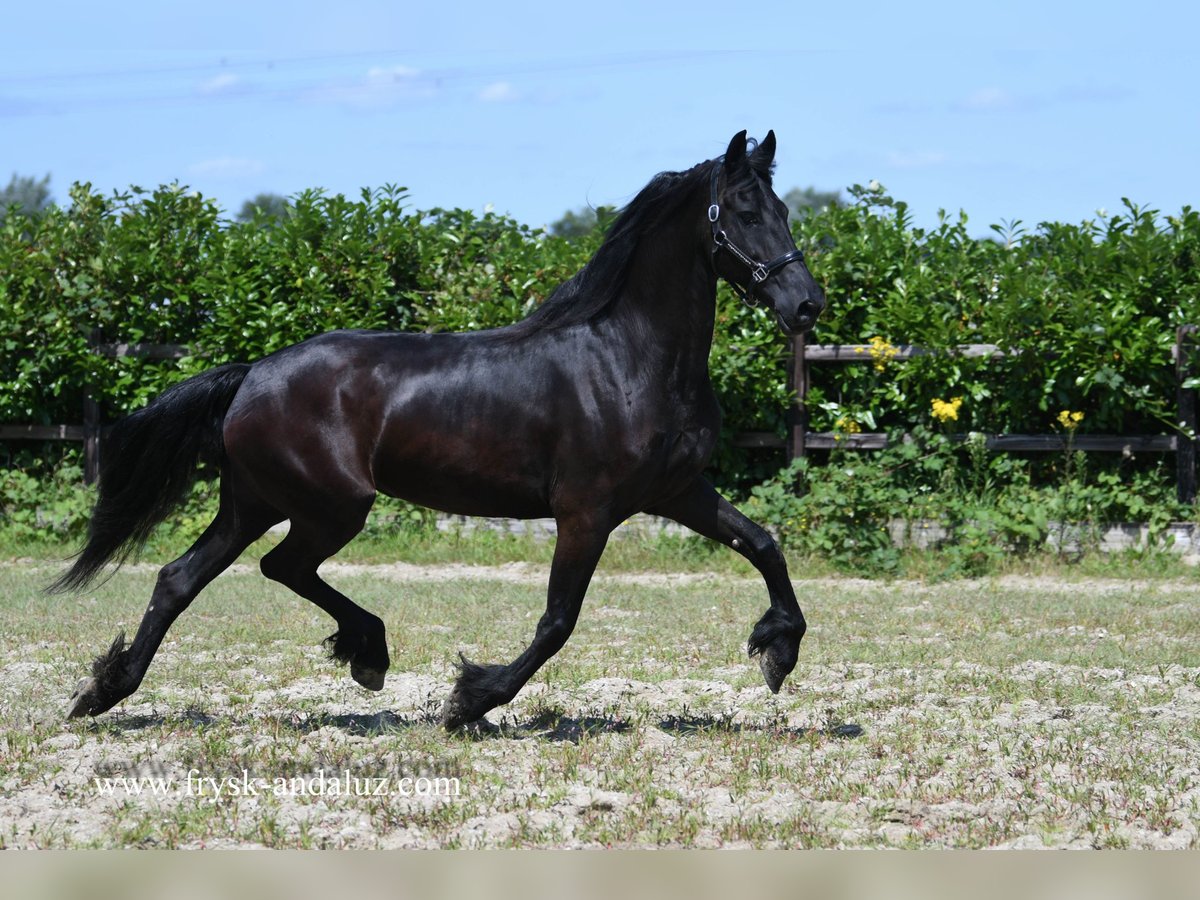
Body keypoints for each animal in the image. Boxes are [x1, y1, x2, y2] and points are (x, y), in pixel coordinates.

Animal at [56, 128, 825, 734]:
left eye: (786, 210)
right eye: (747, 212)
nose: (807, 305)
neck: (627, 358)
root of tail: (252, 374)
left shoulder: (676, 491)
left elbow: (763, 543)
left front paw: (777, 651)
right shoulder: (587, 512)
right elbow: (558, 621)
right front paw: (470, 701)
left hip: (258, 501)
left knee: (183, 578)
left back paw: (106, 691)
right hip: (330, 504)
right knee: (276, 567)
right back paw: (364, 653)